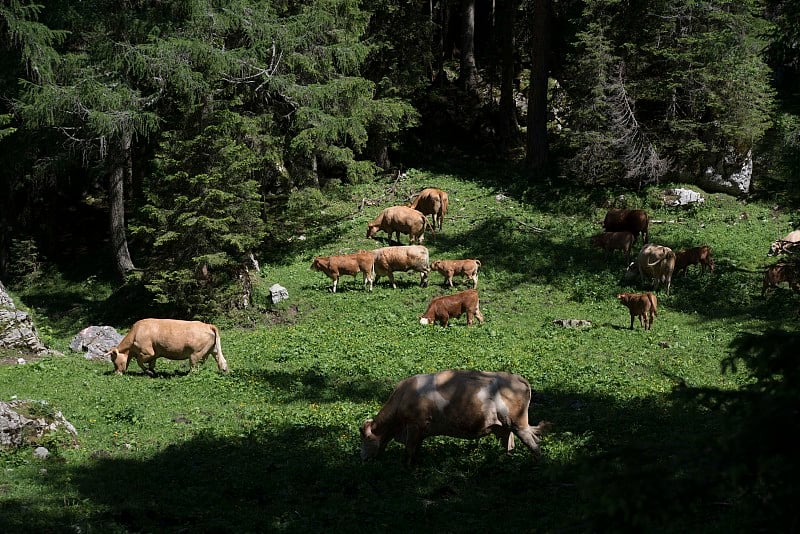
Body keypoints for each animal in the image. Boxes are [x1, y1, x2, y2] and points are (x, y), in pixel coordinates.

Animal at [360, 372, 552, 464]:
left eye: (366, 438)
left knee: (534, 444)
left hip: (519, 424)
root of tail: (518, 378)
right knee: (509, 444)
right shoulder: (420, 432)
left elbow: (409, 451)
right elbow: (415, 451)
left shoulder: (414, 426)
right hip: (505, 426)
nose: (363, 459)